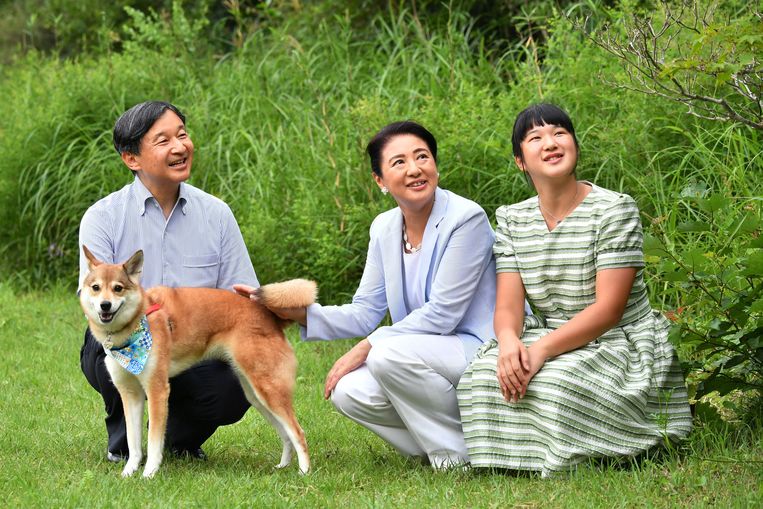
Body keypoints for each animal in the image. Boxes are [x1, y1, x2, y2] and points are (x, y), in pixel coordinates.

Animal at [79, 245, 314, 476]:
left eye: (118, 288)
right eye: (96, 287)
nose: (105, 305)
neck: (138, 321)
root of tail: (271, 318)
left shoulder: (157, 391)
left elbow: (154, 441)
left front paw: (149, 474)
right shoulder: (130, 394)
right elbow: (133, 442)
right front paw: (129, 472)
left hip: (269, 391)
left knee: (298, 432)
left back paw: (304, 471)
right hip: (257, 396)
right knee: (286, 435)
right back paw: (283, 466)